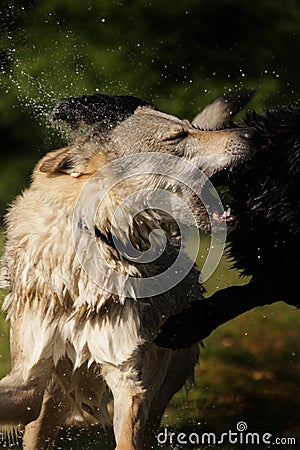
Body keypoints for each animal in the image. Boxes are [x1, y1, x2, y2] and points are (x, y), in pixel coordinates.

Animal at [0, 93, 253, 448]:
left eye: (188, 128)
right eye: (177, 136)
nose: (250, 134)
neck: (99, 238)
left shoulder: (127, 378)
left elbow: (126, 437)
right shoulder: (30, 375)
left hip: (157, 390)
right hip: (51, 401)